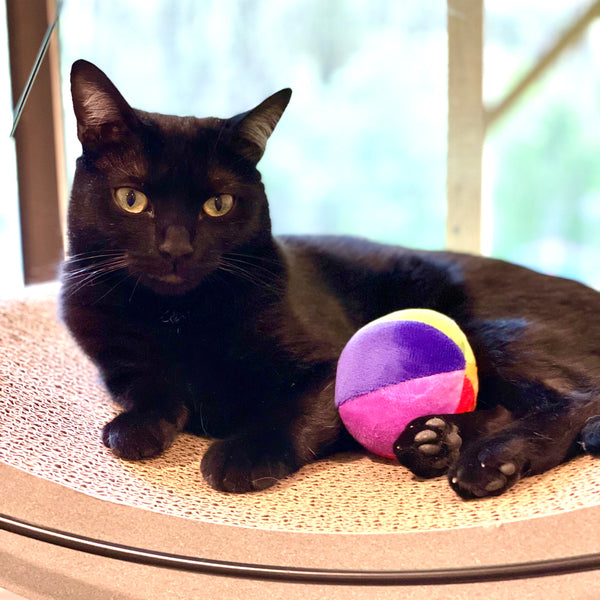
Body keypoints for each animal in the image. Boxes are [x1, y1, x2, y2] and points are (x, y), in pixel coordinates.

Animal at [61, 61, 600, 500]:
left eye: (218, 204)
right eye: (132, 199)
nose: (176, 249)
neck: (176, 316)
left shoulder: (329, 363)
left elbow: (294, 409)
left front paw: (243, 456)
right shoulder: (118, 366)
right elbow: (149, 388)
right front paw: (134, 428)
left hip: (489, 329)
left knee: (574, 399)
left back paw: (487, 462)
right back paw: (431, 440)